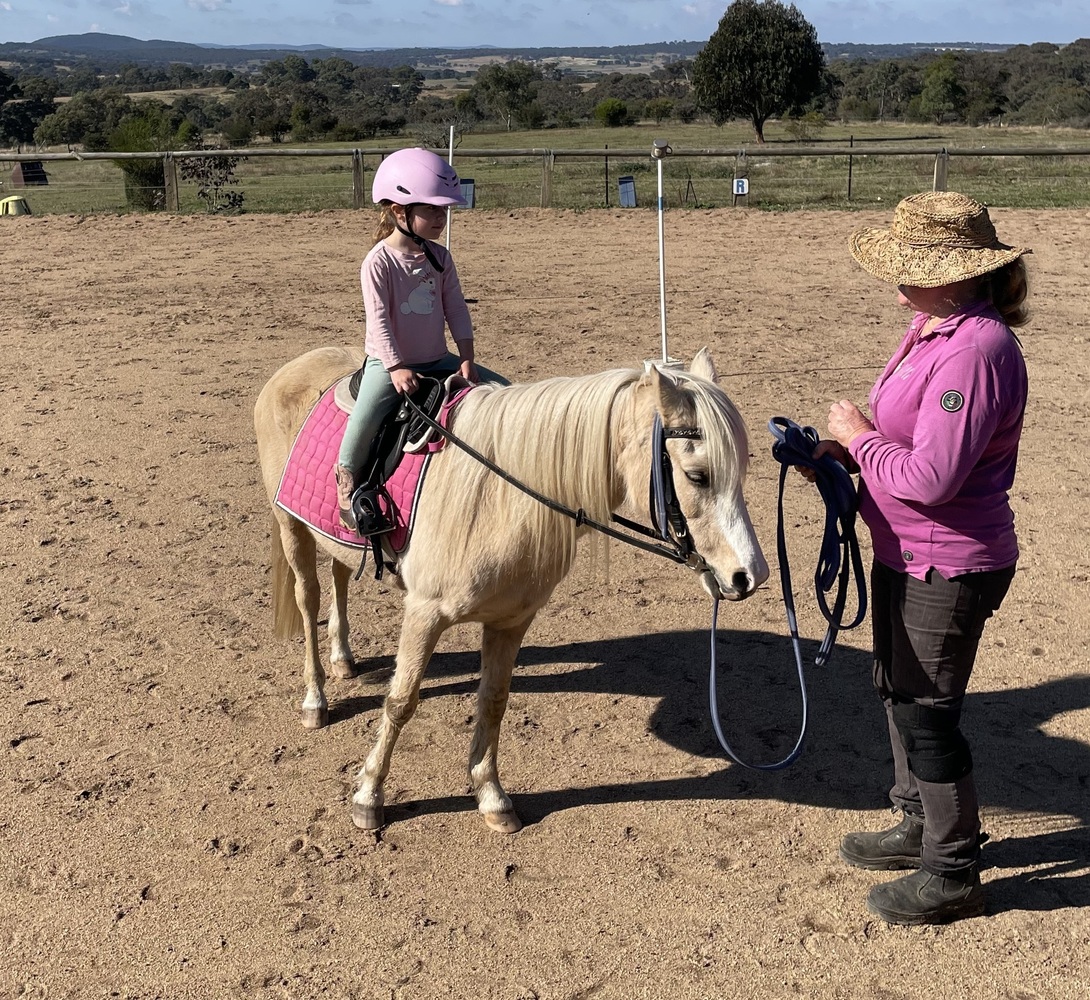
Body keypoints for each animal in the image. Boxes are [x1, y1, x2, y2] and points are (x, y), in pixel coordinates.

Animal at [254, 345, 769, 833]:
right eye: (697, 475)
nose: (750, 576)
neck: (499, 498)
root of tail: (295, 367)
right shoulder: (424, 613)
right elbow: (401, 702)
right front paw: (368, 796)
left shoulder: (511, 620)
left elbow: (494, 700)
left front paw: (492, 798)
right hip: (290, 524)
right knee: (309, 599)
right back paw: (316, 699)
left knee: (340, 577)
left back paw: (343, 659)